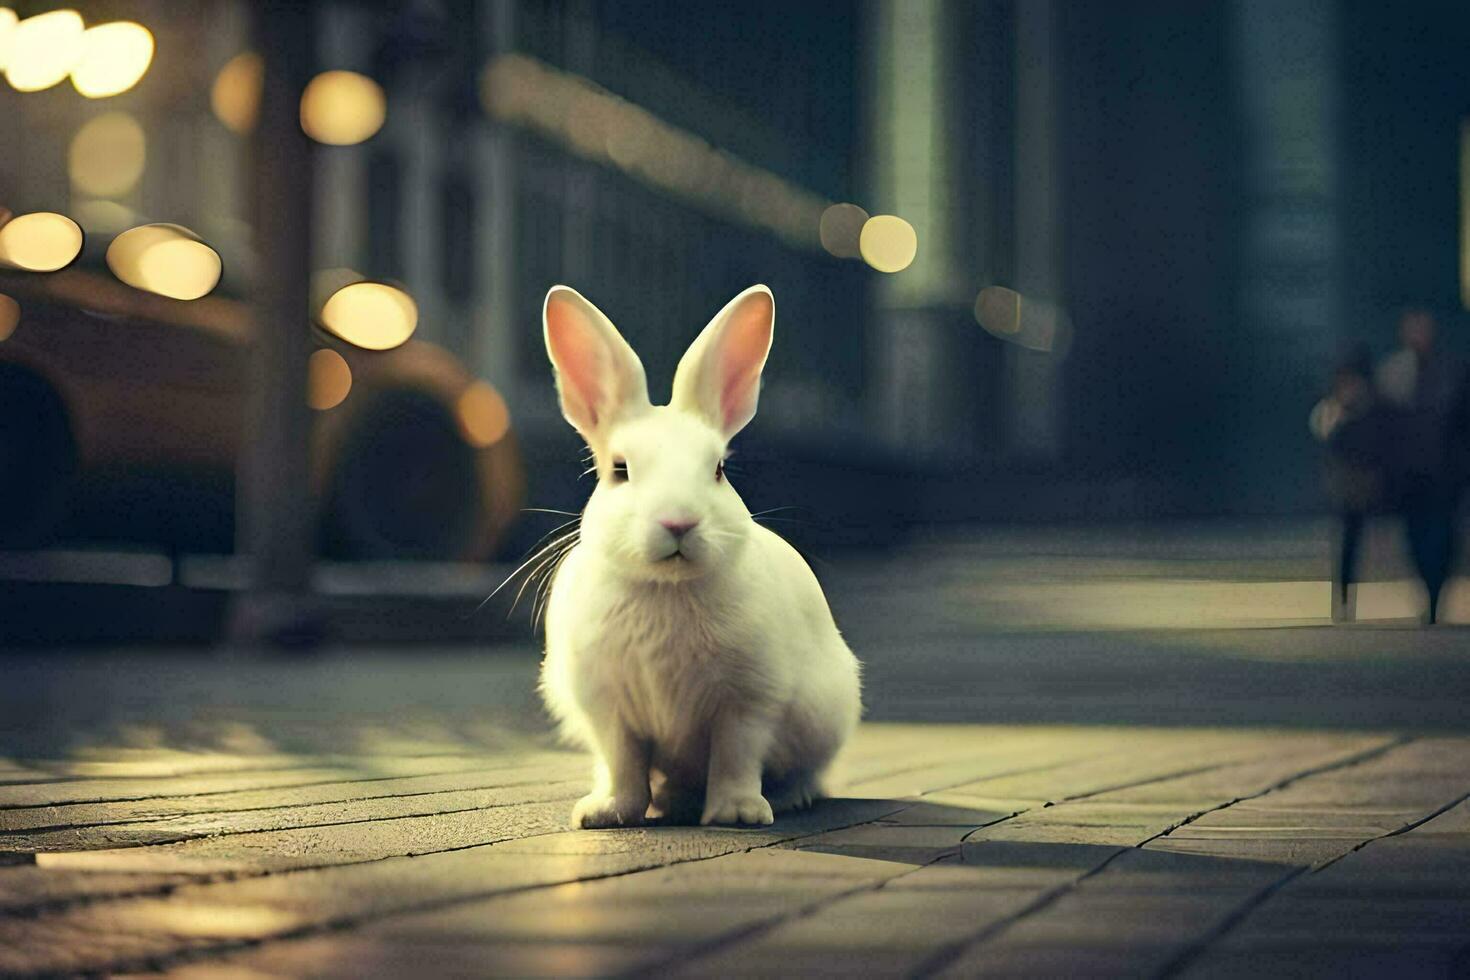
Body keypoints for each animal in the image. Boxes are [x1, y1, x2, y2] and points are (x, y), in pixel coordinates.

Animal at [538, 282, 858, 828]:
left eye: (718, 470)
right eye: (619, 469)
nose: (678, 522)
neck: (666, 587)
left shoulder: (748, 702)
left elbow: (736, 757)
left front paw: (737, 813)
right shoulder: (609, 708)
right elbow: (622, 763)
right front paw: (606, 813)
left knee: (805, 771)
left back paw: (787, 798)